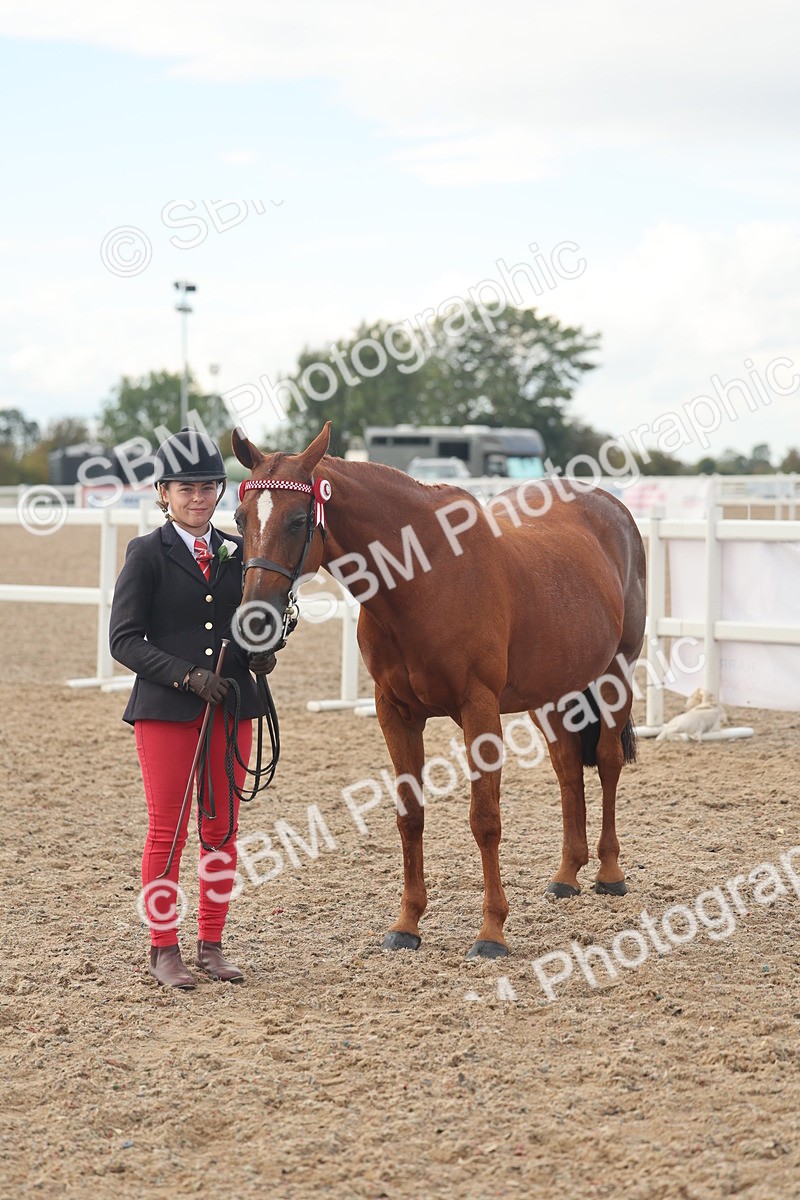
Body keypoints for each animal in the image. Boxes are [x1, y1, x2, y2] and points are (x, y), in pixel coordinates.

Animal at [231, 422, 646, 959]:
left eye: (299, 519)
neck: (424, 576)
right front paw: (407, 924)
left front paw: (491, 932)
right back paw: (566, 875)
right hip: (555, 693)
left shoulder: (479, 710)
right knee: (568, 766)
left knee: (609, 761)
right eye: (239, 518)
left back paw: (609, 872)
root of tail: (611, 508)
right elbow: (410, 816)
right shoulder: (395, 713)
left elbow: (485, 818)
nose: (254, 623)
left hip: (617, 672)